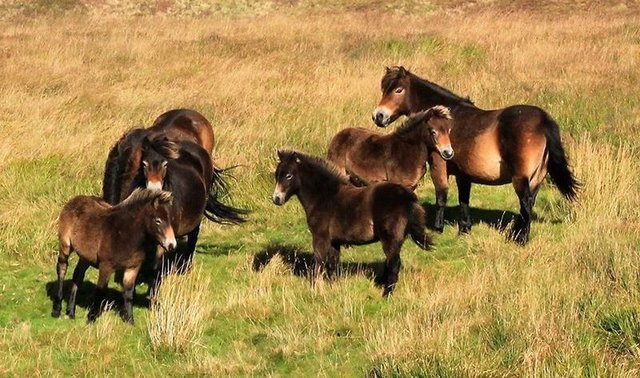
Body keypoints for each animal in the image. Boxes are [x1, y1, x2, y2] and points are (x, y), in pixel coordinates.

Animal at [52, 188, 176, 322]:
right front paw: (91, 318)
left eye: (171, 220)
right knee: (62, 267)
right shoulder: (106, 266)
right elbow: (100, 291)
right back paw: (56, 309)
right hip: (65, 245)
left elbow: (128, 293)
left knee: (77, 276)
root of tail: (74, 200)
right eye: (158, 220)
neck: (126, 235)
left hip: (85, 256)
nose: (172, 245)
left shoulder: (132, 268)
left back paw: (71, 311)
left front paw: (129, 320)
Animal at [270, 150, 430, 296]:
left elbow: (319, 262)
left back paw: (387, 295)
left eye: (289, 175)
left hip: (390, 239)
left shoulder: (320, 238)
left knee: (394, 264)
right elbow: (333, 264)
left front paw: (316, 290)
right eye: (276, 175)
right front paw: (334, 288)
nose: (276, 199)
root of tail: (406, 195)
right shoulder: (334, 241)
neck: (324, 196)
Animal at [370, 66, 580, 244]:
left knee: (526, 204)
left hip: (521, 178)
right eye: (384, 89)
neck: (444, 120)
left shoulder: (439, 164)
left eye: (398, 90)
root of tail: (543, 120)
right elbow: (464, 199)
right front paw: (464, 229)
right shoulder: (463, 173)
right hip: (537, 177)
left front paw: (438, 228)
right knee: (527, 205)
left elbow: (441, 196)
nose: (378, 116)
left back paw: (521, 239)